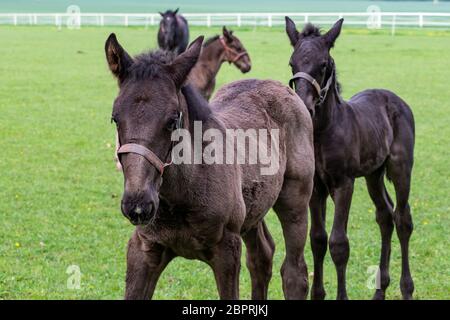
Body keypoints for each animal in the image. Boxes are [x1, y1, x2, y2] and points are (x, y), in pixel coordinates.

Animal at [107, 33, 314, 298]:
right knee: (261, 256)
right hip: (253, 208)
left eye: (172, 120)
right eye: (115, 118)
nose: (138, 205)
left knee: (294, 272)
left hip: (294, 201)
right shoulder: (144, 248)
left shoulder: (227, 249)